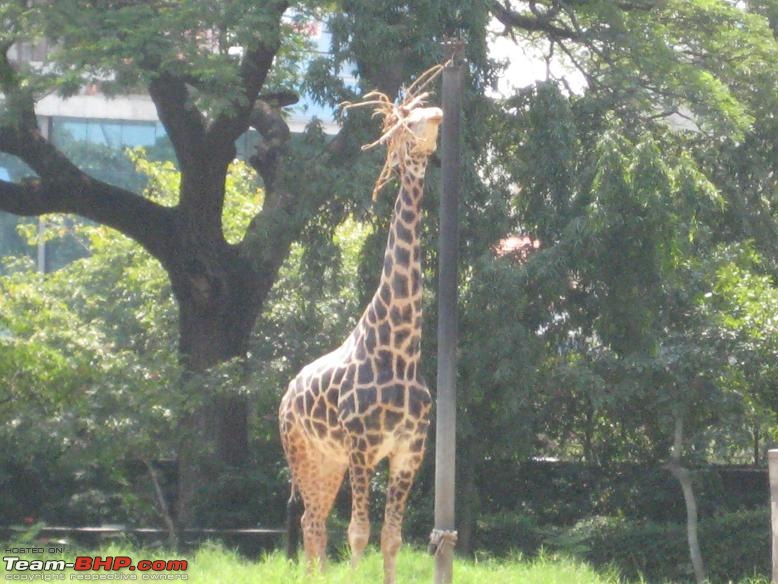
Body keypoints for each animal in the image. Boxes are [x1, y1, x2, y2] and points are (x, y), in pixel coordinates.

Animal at [278, 82, 442, 584]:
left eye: (430, 112)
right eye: (408, 122)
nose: (438, 116)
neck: (401, 349)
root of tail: (286, 393)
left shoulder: (410, 450)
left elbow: (391, 537)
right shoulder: (363, 446)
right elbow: (358, 533)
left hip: (326, 460)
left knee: (311, 523)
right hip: (302, 452)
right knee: (313, 523)